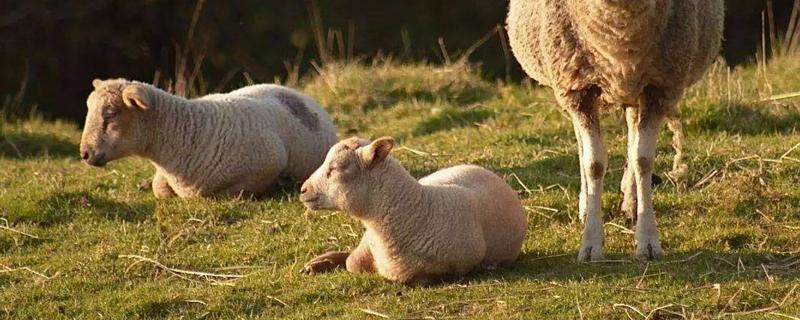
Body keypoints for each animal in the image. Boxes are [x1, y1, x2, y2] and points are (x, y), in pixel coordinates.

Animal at [510, 0, 728, 260]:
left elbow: (643, 160)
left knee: (633, 137)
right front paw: (591, 243)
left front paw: (648, 240)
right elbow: (593, 164)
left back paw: (631, 202)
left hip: (637, 88)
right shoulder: (577, 89)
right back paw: (586, 206)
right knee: (583, 146)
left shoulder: (660, 87)